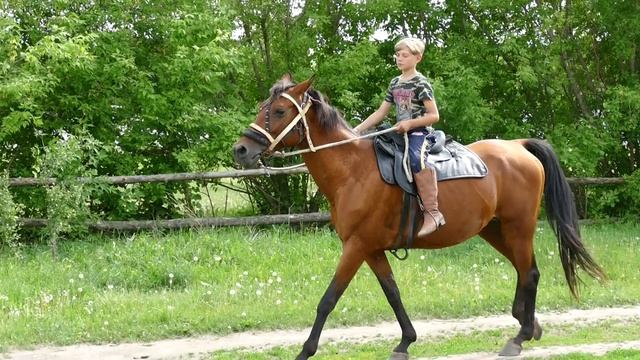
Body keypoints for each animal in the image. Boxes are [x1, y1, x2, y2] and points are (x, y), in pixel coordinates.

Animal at [230, 74, 604, 358]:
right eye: (264, 108)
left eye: (279, 110)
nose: (241, 149)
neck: (353, 171)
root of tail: (518, 146)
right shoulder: (371, 249)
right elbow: (393, 294)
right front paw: (405, 341)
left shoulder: (356, 246)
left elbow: (328, 300)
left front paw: (306, 350)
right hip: (495, 230)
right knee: (524, 271)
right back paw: (529, 323)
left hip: (518, 227)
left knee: (530, 273)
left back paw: (520, 336)